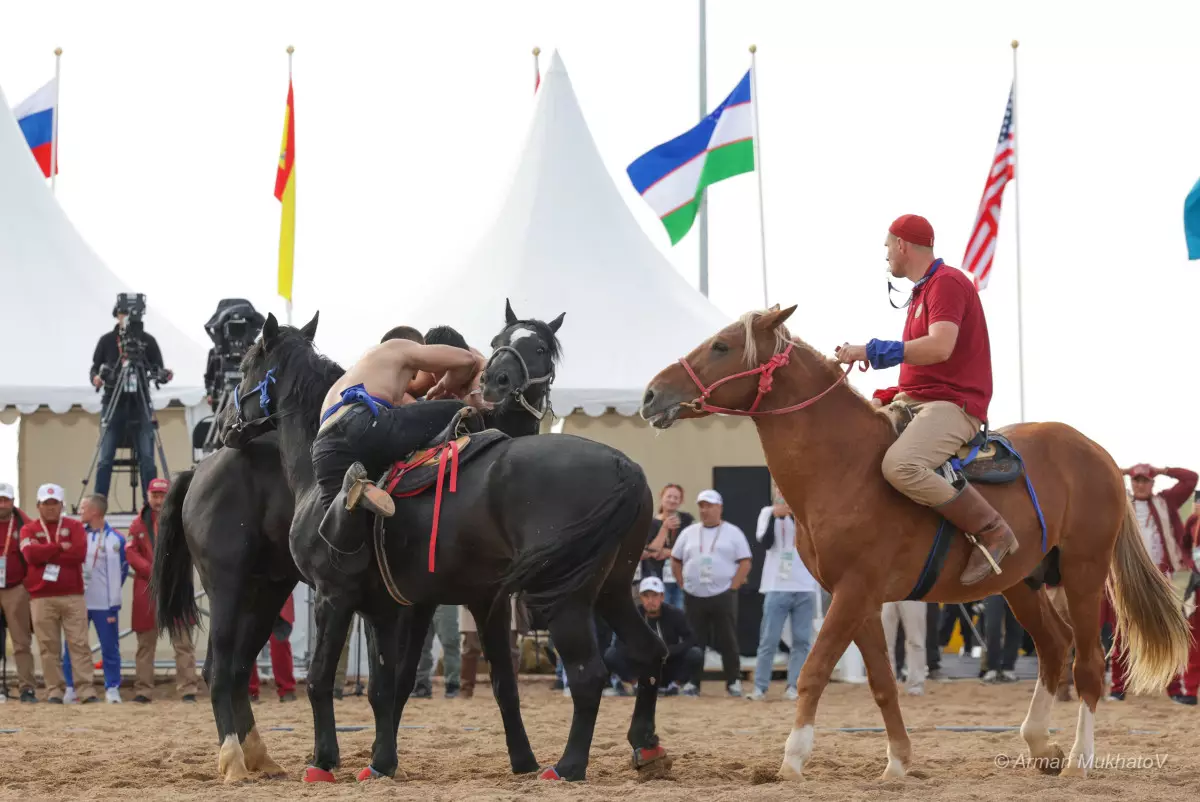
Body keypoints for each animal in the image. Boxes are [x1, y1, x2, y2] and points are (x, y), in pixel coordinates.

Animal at [151, 307, 561, 782]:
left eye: (540, 348)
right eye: (499, 342)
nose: (223, 423)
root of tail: (199, 470)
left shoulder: (456, 599)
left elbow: (484, 682)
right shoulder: (385, 602)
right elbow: (378, 682)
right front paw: (357, 756)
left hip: (264, 589)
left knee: (233, 668)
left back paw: (257, 757)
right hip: (227, 585)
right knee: (217, 669)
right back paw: (235, 759)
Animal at [229, 309, 672, 777]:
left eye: (246, 366)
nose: (226, 425)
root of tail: (624, 466)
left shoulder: (337, 596)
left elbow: (321, 680)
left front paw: (324, 760)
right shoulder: (419, 605)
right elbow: (402, 684)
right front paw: (385, 760)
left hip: (568, 599)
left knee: (588, 674)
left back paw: (568, 766)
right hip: (612, 588)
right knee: (649, 652)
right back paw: (646, 745)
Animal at [643, 309, 1185, 782]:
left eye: (721, 346)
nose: (651, 395)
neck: (843, 465)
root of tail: (1097, 453)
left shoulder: (853, 593)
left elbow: (814, 670)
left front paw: (793, 760)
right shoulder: (859, 600)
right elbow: (883, 683)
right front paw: (898, 762)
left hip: (1083, 572)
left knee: (1089, 664)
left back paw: (1078, 759)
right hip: (1021, 582)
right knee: (1055, 646)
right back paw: (1039, 743)